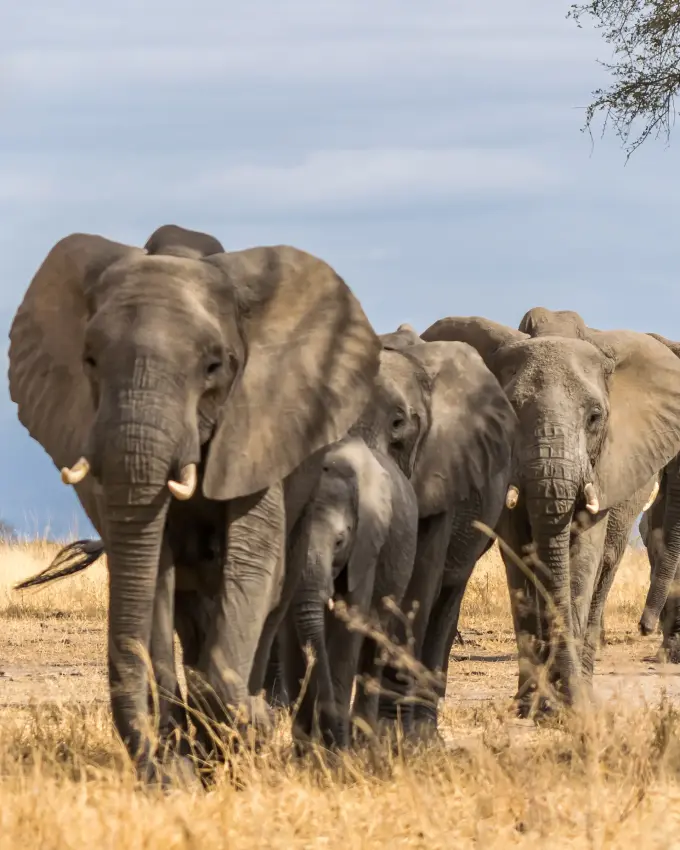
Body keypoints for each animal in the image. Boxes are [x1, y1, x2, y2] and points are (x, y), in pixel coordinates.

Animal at [9, 224, 381, 782]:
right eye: (90, 361)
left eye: (213, 366)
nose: (157, 770)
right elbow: (153, 574)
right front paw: (182, 767)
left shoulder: (258, 428)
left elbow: (251, 565)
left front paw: (245, 728)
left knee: (274, 595)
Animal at [283, 433, 418, 749]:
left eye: (339, 542)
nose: (330, 739)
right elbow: (290, 635)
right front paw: (303, 750)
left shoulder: (366, 545)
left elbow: (349, 627)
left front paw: (334, 751)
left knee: (374, 641)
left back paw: (364, 740)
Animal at [418, 308, 680, 715]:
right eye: (509, 412)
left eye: (595, 417)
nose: (644, 628)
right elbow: (521, 557)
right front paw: (534, 704)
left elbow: (583, 557)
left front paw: (566, 704)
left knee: (606, 564)